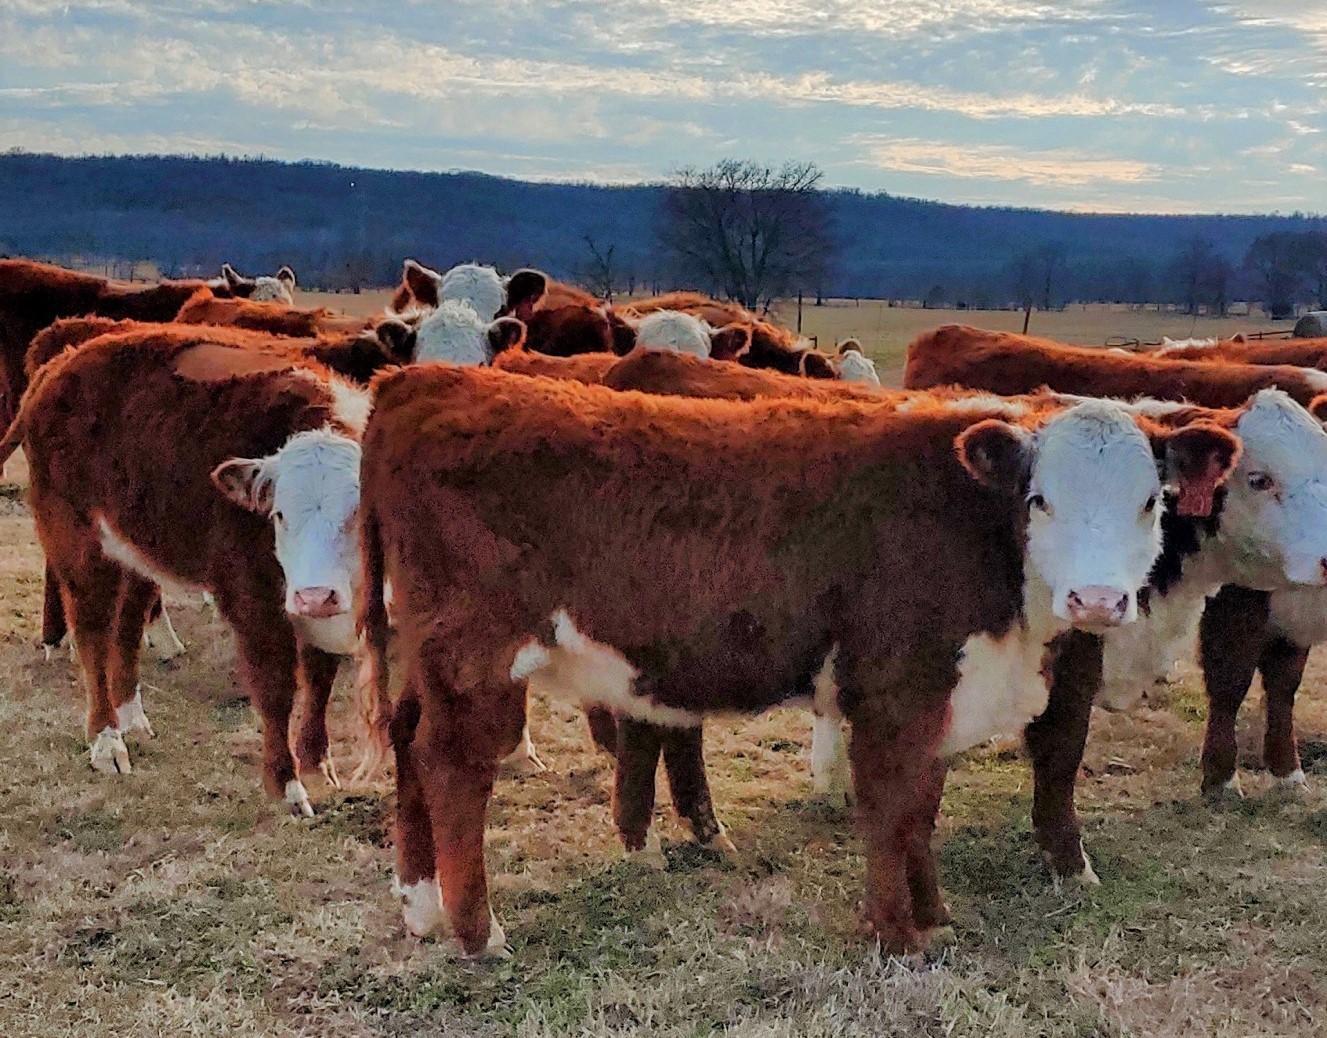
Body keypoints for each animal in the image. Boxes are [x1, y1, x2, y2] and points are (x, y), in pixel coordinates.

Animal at [5, 327, 371, 812]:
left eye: (356, 513)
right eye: (279, 514)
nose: (314, 595)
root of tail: (60, 363)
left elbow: (321, 680)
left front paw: (318, 764)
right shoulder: (253, 600)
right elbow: (276, 689)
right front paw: (288, 787)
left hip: (136, 551)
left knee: (127, 628)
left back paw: (132, 719)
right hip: (78, 542)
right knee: (93, 634)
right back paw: (107, 741)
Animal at [360, 363, 1231, 961]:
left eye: (1148, 502)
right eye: (1039, 498)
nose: (1096, 600)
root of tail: (419, 380)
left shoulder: (935, 696)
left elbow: (921, 809)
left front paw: (934, 916)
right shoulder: (895, 688)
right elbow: (889, 809)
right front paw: (897, 937)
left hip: (432, 660)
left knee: (408, 743)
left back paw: (421, 905)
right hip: (476, 660)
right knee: (450, 767)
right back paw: (479, 933)